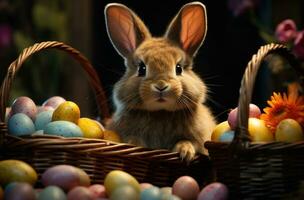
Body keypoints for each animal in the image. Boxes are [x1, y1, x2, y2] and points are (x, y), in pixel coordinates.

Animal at [104, 1, 216, 161]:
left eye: (178, 68)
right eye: (142, 69)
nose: (161, 86)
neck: (160, 112)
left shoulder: (199, 139)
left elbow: (189, 141)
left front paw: (185, 152)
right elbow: (133, 138)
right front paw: (134, 145)